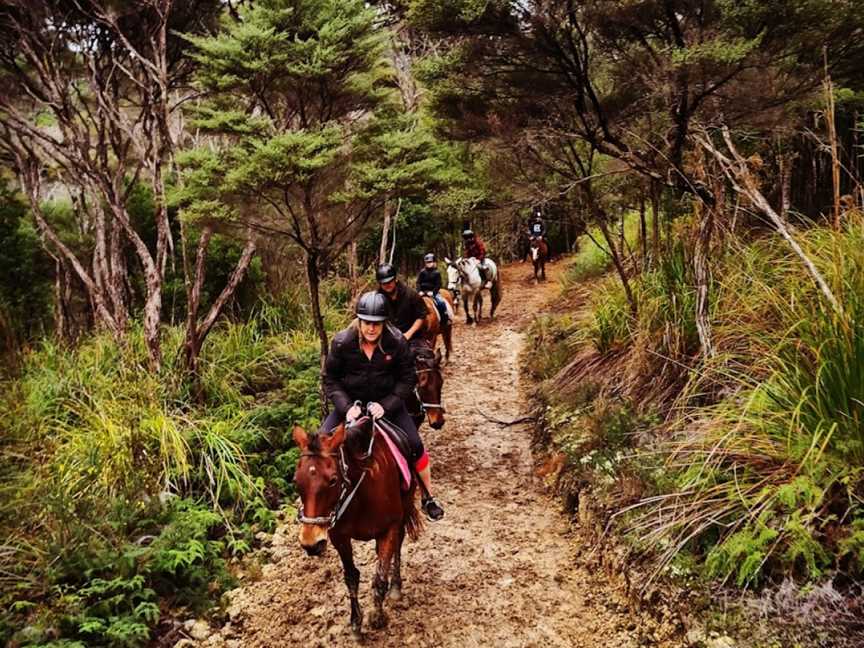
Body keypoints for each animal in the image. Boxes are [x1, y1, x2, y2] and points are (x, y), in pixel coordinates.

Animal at [294, 420, 422, 636]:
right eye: (296, 481)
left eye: (333, 480)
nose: (311, 544)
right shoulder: (339, 537)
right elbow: (351, 577)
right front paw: (356, 622)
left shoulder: (389, 529)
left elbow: (380, 577)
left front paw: (377, 617)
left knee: (397, 545)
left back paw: (395, 587)